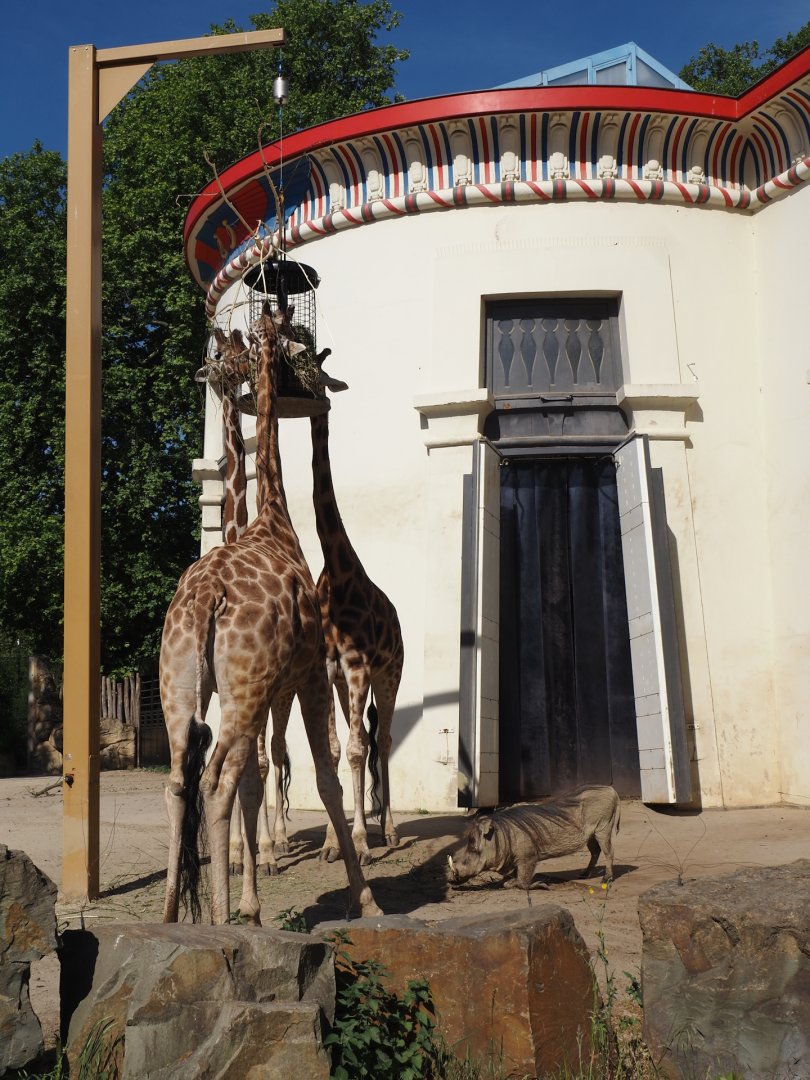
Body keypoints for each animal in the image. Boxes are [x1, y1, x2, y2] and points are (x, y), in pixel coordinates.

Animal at [160, 305, 382, 924]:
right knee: (219, 780)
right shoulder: (309, 674)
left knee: (180, 781)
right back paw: (221, 917)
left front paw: (256, 884)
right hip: (248, 687)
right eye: (303, 352)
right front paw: (365, 897)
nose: (318, 395)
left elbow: (264, 777)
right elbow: (325, 778)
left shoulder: (270, 690)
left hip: (181, 685)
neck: (275, 517)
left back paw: (173, 916)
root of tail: (205, 598)